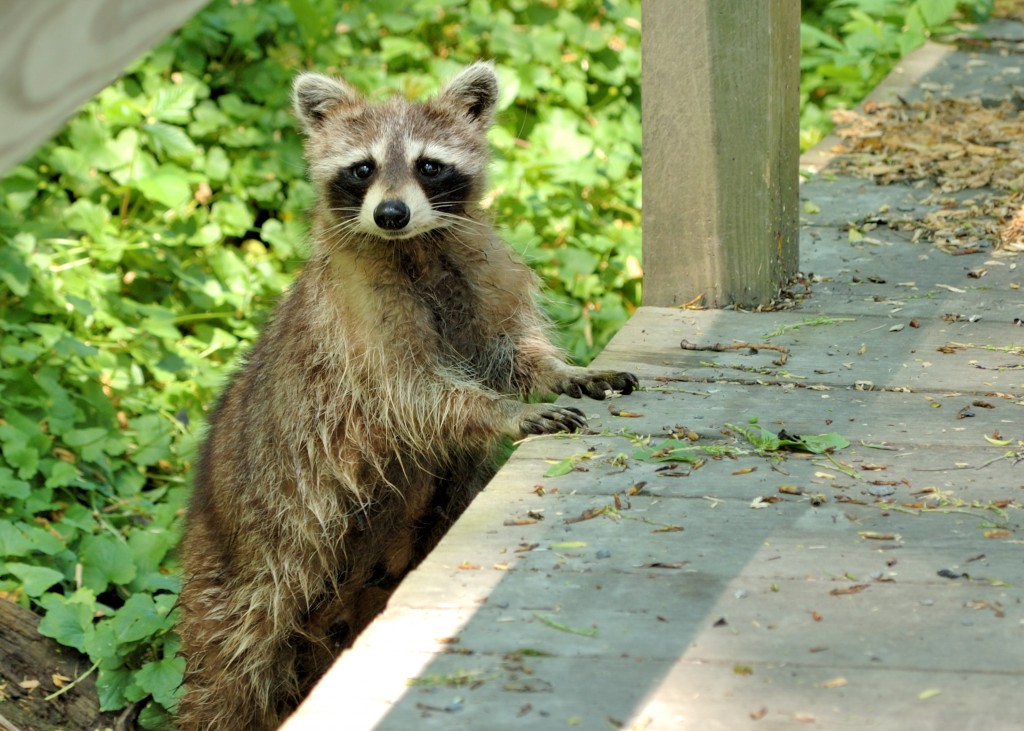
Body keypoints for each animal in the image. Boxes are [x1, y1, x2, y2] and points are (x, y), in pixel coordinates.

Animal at [177, 63, 638, 728]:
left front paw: (560, 371)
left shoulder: (482, 279)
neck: (416, 248)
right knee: (232, 664)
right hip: (250, 559)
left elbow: (512, 353)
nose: (391, 213)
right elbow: (415, 396)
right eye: (362, 168)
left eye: (428, 165)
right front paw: (501, 411)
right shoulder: (358, 328)